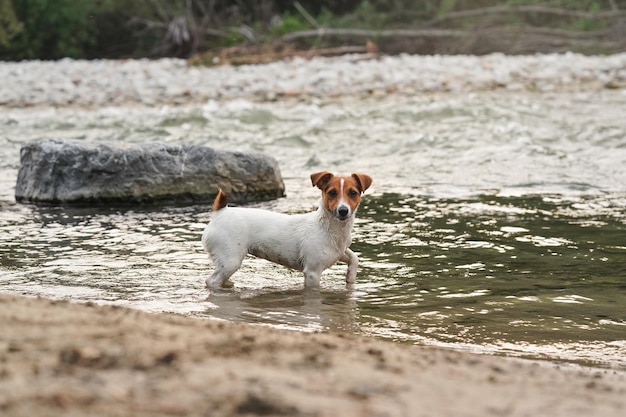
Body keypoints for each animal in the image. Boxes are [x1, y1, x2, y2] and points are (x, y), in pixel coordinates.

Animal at [202, 171, 370, 288]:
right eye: (332, 193)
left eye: (353, 193)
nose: (343, 211)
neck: (328, 228)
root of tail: (220, 212)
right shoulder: (313, 273)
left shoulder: (340, 252)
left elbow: (354, 258)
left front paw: (350, 278)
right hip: (230, 261)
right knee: (211, 281)